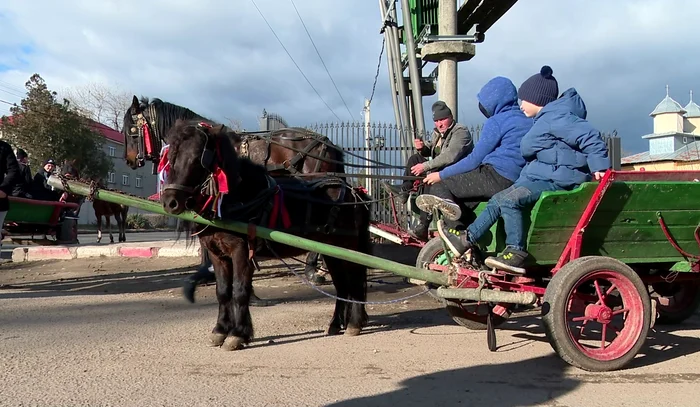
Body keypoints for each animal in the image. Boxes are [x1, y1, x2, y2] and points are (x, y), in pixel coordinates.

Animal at [160, 120, 372, 350]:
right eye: (170, 158)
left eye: (198, 158)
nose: (170, 202)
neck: (240, 197)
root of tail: (356, 193)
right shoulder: (218, 255)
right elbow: (223, 292)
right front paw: (220, 330)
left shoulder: (242, 251)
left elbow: (240, 291)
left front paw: (237, 334)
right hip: (333, 251)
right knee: (342, 284)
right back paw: (335, 324)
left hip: (349, 247)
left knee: (356, 281)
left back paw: (354, 324)